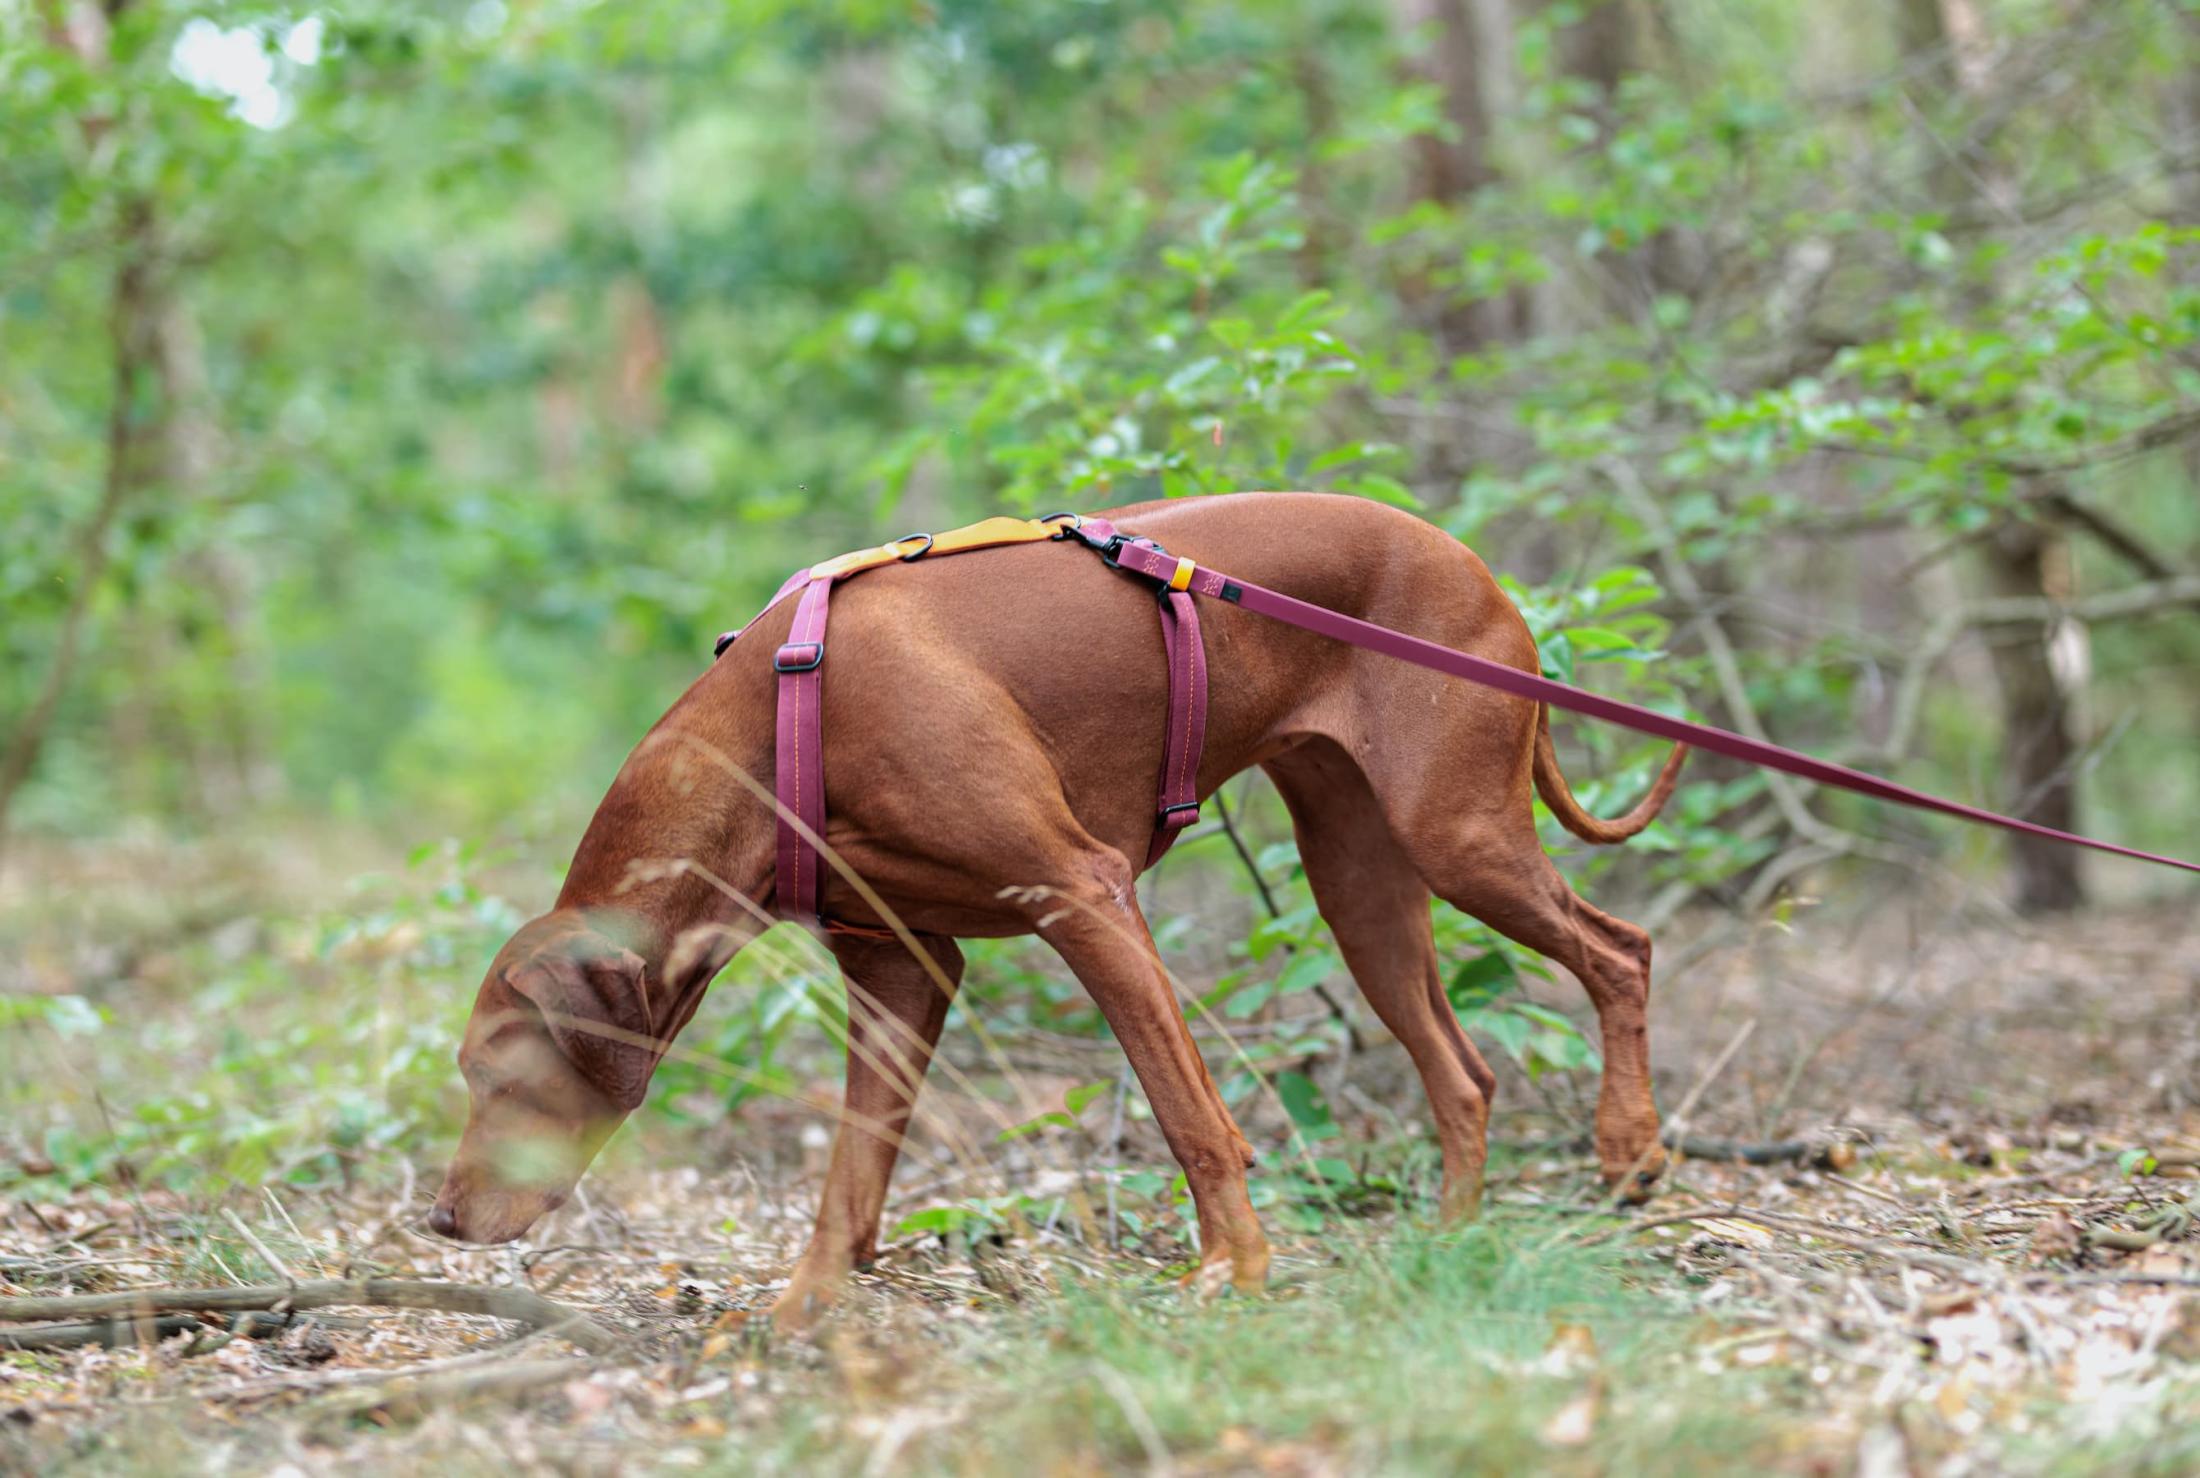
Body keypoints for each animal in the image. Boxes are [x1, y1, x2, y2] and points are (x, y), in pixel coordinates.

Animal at [429, 492, 1672, 1319]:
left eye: (496, 1072)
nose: (438, 1219)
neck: (769, 735)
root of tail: (1472, 561)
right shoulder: (902, 968)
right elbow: (854, 1166)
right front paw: (802, 1307)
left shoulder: (1084, 893)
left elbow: (1188, 1112)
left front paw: (1232, 1266)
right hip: (1360, 884)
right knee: (1463, 1070)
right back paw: (1453, 1244)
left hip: (1458, 836)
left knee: (1620, 948)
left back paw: (1628, 1145)